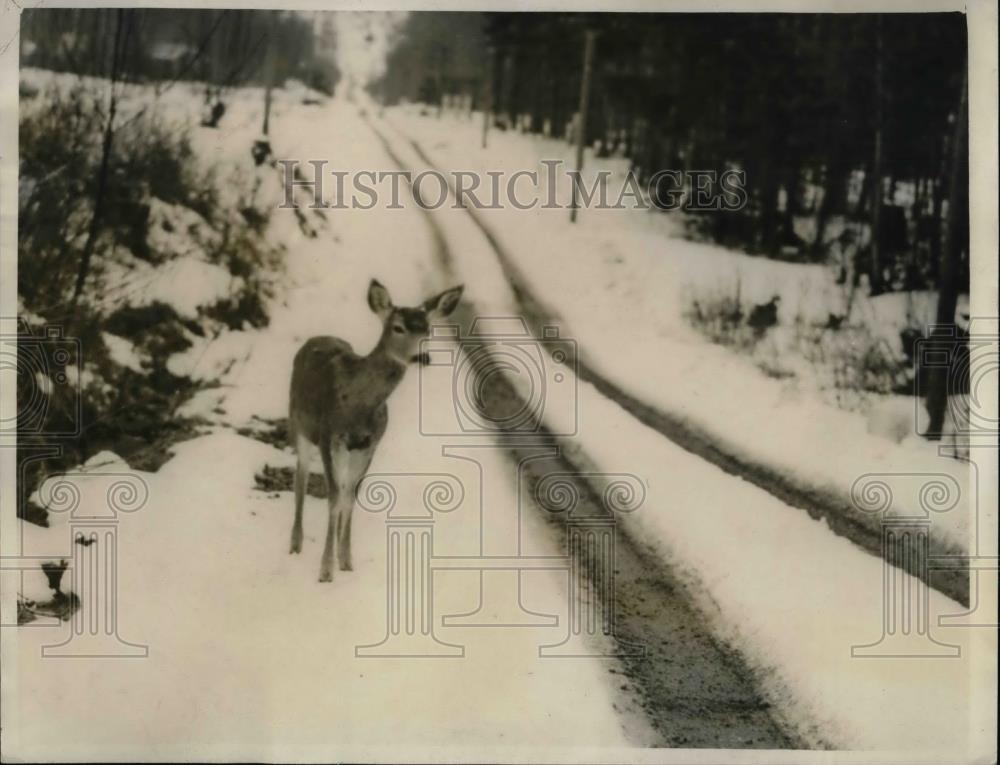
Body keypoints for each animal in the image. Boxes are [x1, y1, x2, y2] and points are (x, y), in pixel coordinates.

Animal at [288, 278, 462, 580]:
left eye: (427, 329)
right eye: (398, 327)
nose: (422, 356)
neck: (359, 405)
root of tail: (316, 337)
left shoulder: (370, 443)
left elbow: (350, 497)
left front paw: (346, 562)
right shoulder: (328, 435)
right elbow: (334, 496)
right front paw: (325, 571)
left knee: (339, 486)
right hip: (299, 425)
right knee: (300, 477)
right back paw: (295, 545)